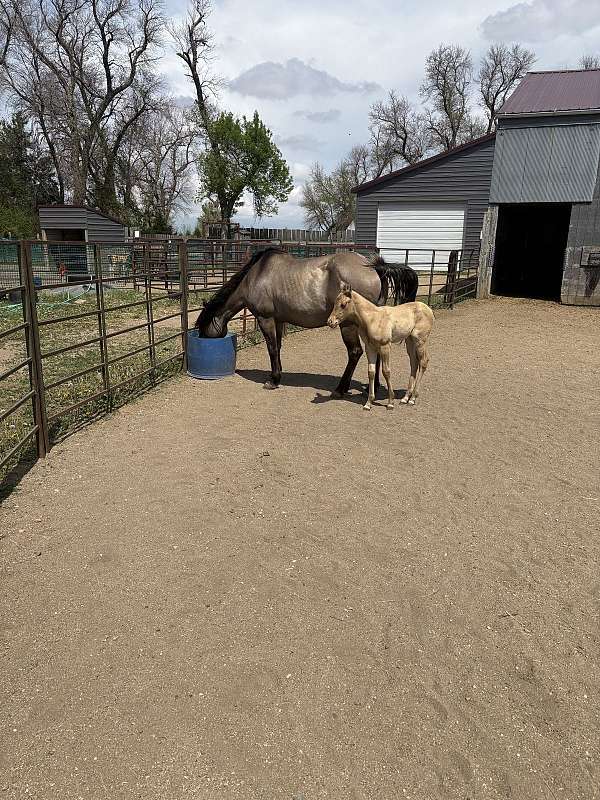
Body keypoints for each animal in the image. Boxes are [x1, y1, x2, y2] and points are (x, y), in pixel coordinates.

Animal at [195, 247, 418, 396]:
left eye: (203, 329)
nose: (202, 339)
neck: (256, 276)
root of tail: (375, 268)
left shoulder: (265, 319)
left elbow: (272, 348)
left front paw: (273, 381)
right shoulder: (278, 320)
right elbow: (278, 347)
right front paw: (278, 375)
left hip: (347, 326)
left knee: (355, 353)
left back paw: (340, 389)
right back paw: (374, 386)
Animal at [327, 282, 434, 411]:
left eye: (343, 304)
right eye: (335, 303)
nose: (330, 322)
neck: (372, 319)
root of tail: (427, 308)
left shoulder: (385, 346)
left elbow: (386, 371)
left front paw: (390, 402)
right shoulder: (370, 348)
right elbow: (371, 372)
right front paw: (368, 403)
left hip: (420, 341)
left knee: (423, 362)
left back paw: (412, 399)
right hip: (410, 341)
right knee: (414, 363)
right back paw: (405, 398)